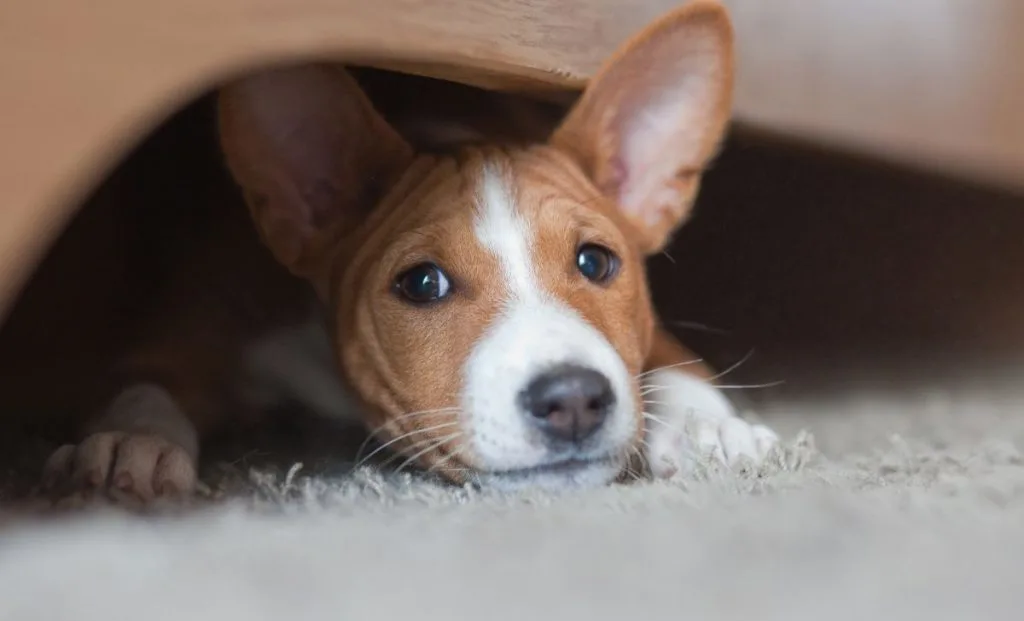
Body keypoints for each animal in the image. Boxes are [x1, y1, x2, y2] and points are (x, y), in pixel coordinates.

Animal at [16, 0, 774, 498]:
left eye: (596, 262)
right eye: (422, 283)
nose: (574, 399)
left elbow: (669, 355)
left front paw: (709, 426)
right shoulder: (200, 319)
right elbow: (143, 381)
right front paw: (131, 444)